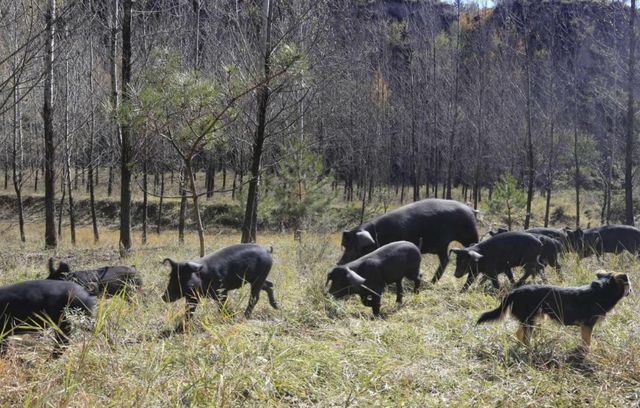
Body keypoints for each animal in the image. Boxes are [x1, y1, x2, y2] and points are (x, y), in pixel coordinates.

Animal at [476, 272, 632, 350]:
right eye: (629, 284)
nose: (631, 291)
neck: (602, 291)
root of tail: (513, 292)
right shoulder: (587, 325)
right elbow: (587, 342)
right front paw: (587, 353)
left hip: (531, 319)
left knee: (519, 334)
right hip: (531, 319)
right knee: (525, 337)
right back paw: (530, 350)